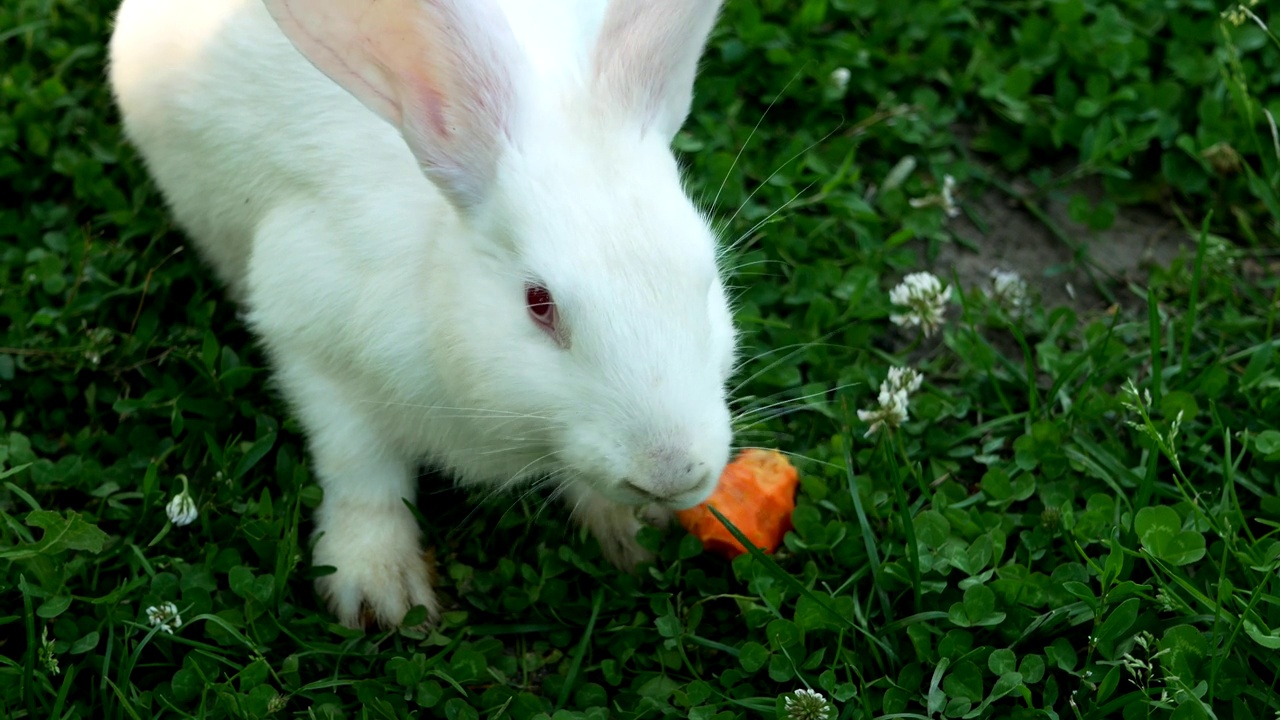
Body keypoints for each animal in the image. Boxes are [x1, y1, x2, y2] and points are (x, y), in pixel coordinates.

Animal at [110, 0, 742, 627]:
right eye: (538, 304)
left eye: (706, 275)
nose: (670, 474)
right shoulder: (310, 342)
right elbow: (360, 470)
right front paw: (378, 591)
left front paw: (631, 534)